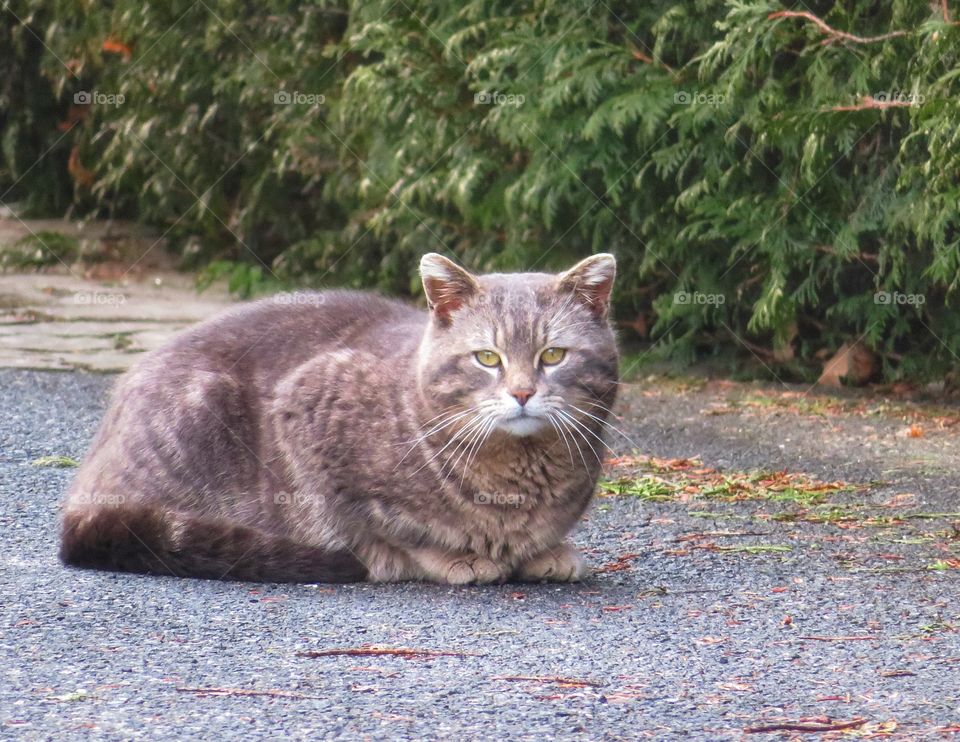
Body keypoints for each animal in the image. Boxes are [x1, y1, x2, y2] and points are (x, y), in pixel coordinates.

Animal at [60, 253, 620, 584]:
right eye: (487, 358)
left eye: (553, 355)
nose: (523, 391)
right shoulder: (306, 408)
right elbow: (392, 528)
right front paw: (453, 557)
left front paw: (547, 550)